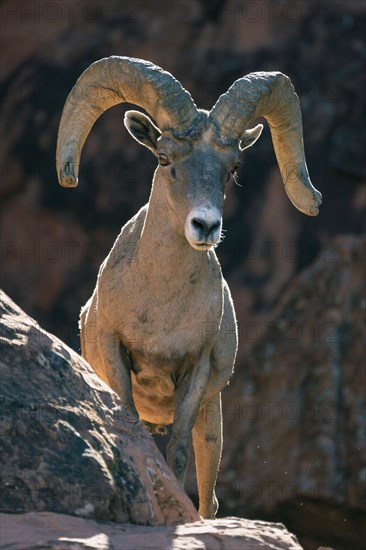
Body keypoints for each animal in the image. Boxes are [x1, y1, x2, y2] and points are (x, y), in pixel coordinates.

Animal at [55, 57, 322, 520]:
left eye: (233, 169)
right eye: (164, 158)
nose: (206, 226)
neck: (161, 306)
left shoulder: (195, 370)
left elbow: (177, 453)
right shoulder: (114, 351)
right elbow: (133, 433)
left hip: (211, 419)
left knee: (209, 494)